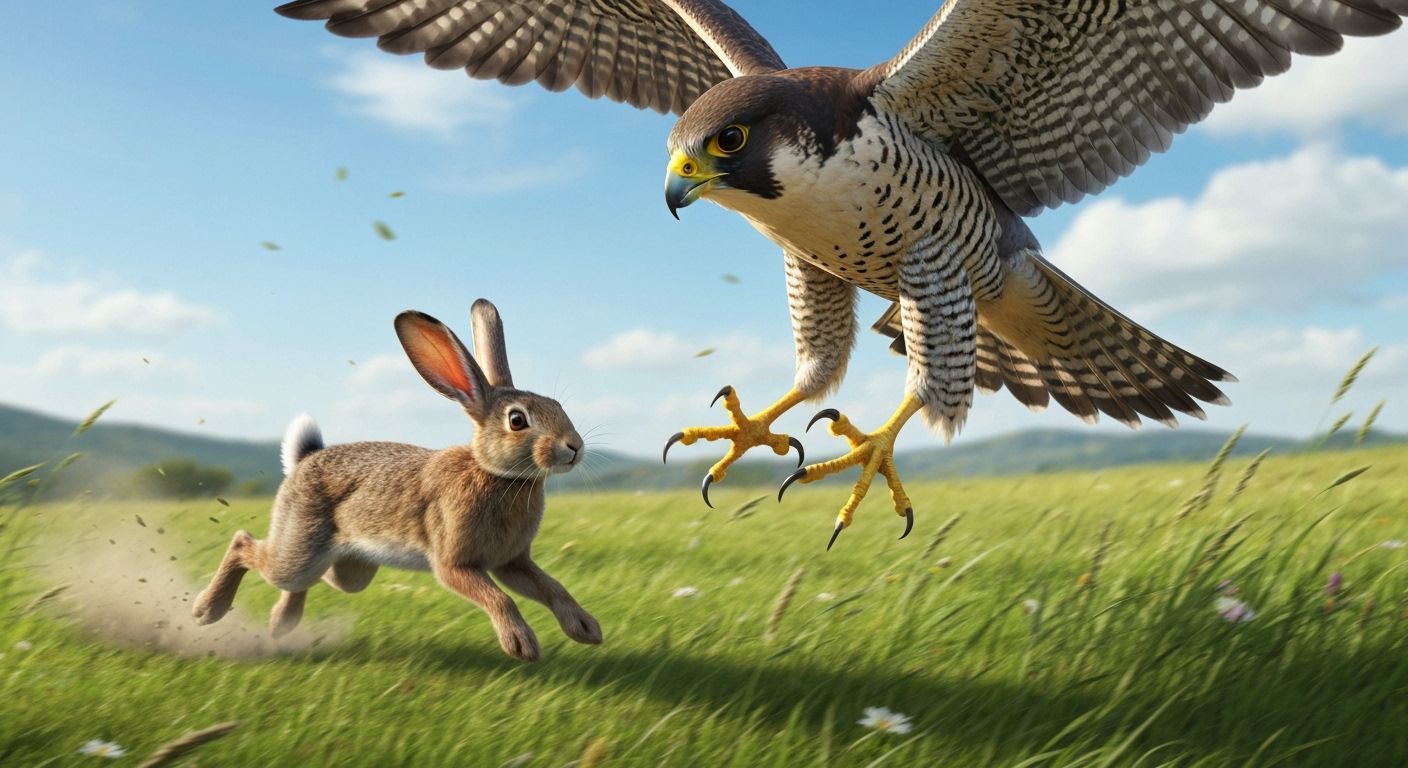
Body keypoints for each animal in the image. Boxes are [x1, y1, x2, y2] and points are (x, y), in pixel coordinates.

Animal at [191, 299, 601, 661]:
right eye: (517, 420)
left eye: (557, 406)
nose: (574, 447)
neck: (497, 475)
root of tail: (303, 459)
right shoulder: (453, 564)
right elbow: (499, 597)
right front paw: (521, 644)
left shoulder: (511, 562)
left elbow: (551, 587)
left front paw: (586, 629)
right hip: (299, 549)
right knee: (246, 545)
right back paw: (207, 609)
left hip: (351, 568)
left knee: (320, 579)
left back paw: (281, 622)